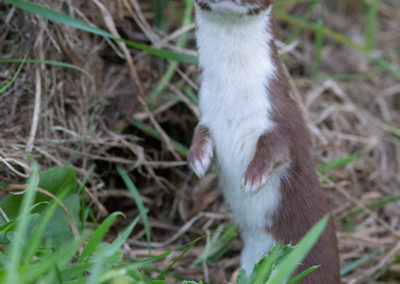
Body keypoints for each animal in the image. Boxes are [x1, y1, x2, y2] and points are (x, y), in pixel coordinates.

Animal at [188, 0, 340, 282]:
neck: (232, 104)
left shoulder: (280, 116)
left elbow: (278, 147)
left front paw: (253, 177)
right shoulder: (208, 114)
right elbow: (200, 131)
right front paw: (198, 159)